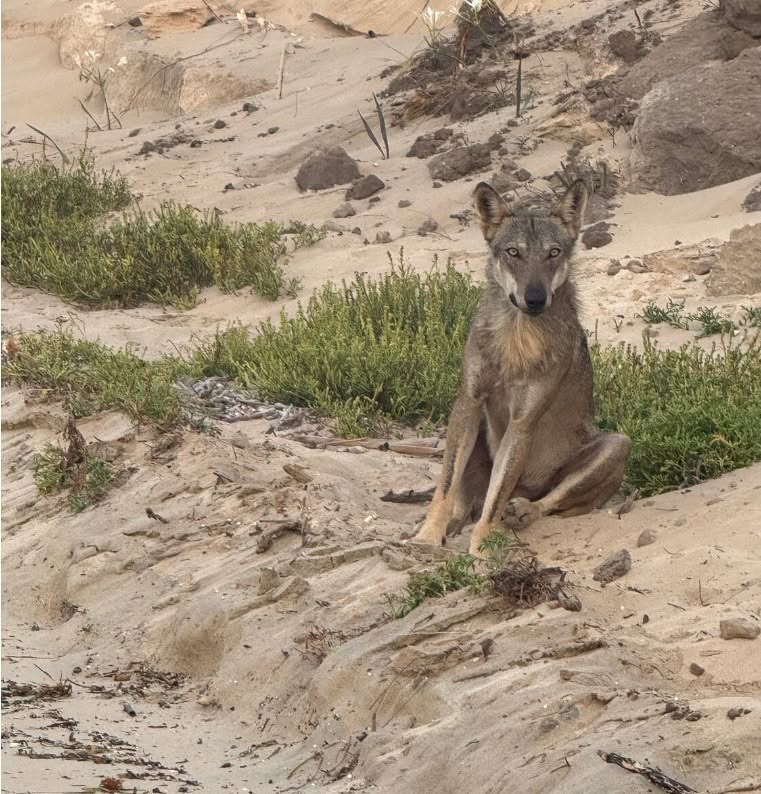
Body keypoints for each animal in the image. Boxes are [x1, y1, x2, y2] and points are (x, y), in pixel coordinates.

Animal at [412, 180, 631, 557]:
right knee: (465, 501)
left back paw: (521, 511)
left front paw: (483, 547)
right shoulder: (469, 402)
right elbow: (446, 486)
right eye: (513, 253)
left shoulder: (522, 422)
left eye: (553, 253)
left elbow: (496, 498)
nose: (535, 298)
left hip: (618, 444)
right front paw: (427, 537)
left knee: (545, 502)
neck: (516, 341)